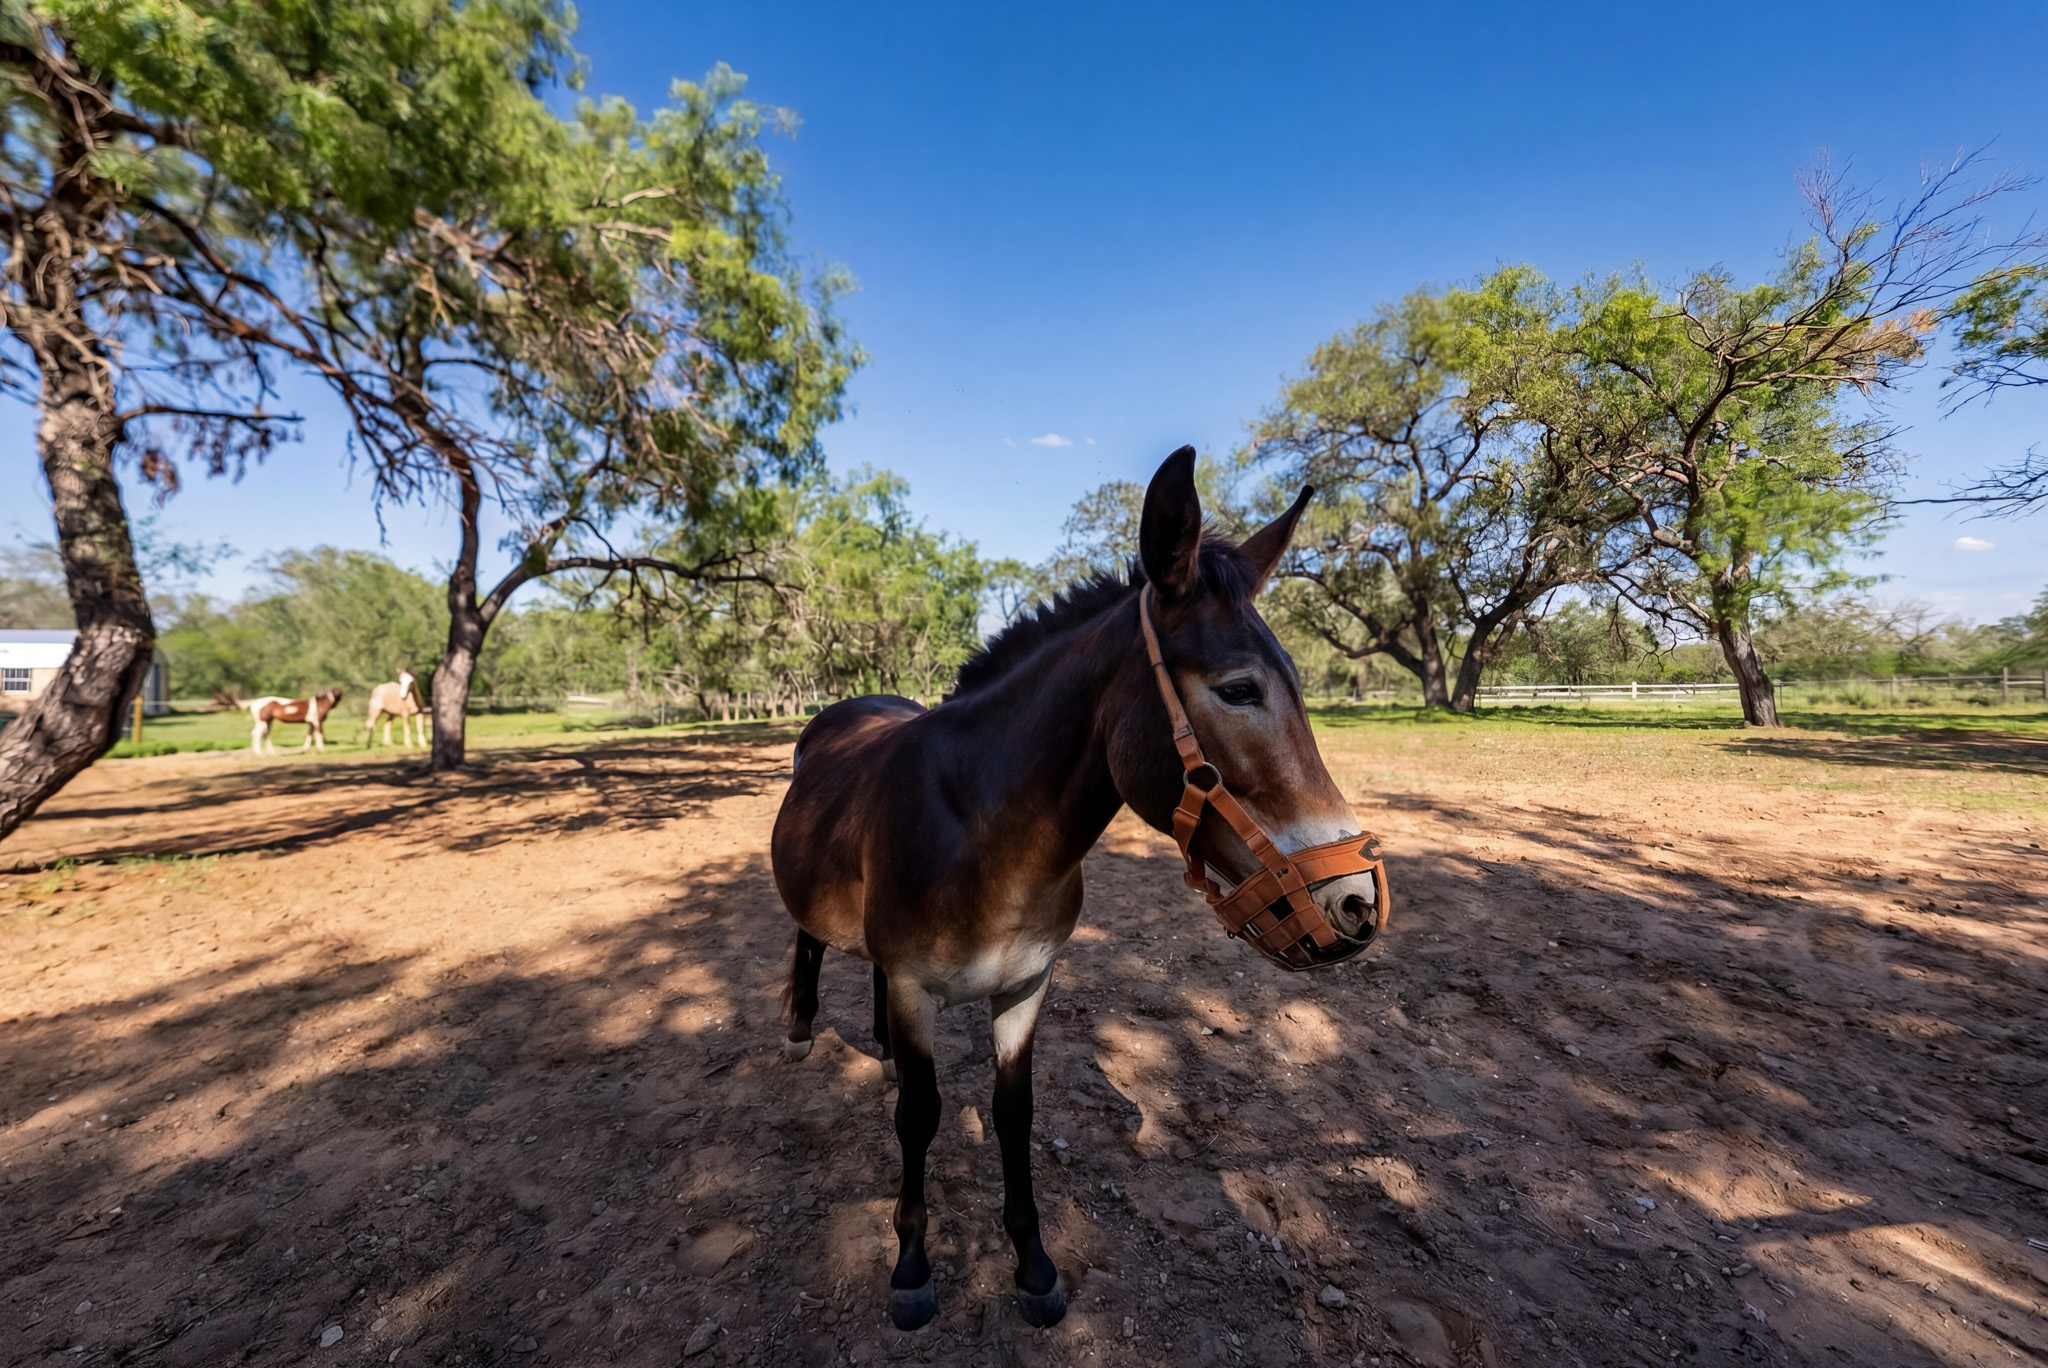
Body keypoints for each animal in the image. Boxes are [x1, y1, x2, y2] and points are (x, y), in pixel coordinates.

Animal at [770, 447, 1392, 1332]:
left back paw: (882, 1049)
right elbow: (920, 1118)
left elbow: (1014, 1114)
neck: (983, 835)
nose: (1356, 901)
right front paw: (912, 1266)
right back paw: (800, 1027)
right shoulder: (920, 989)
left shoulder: (1026, 986)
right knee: (810, 938)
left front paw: (1032, 1265)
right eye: (1239, 689)